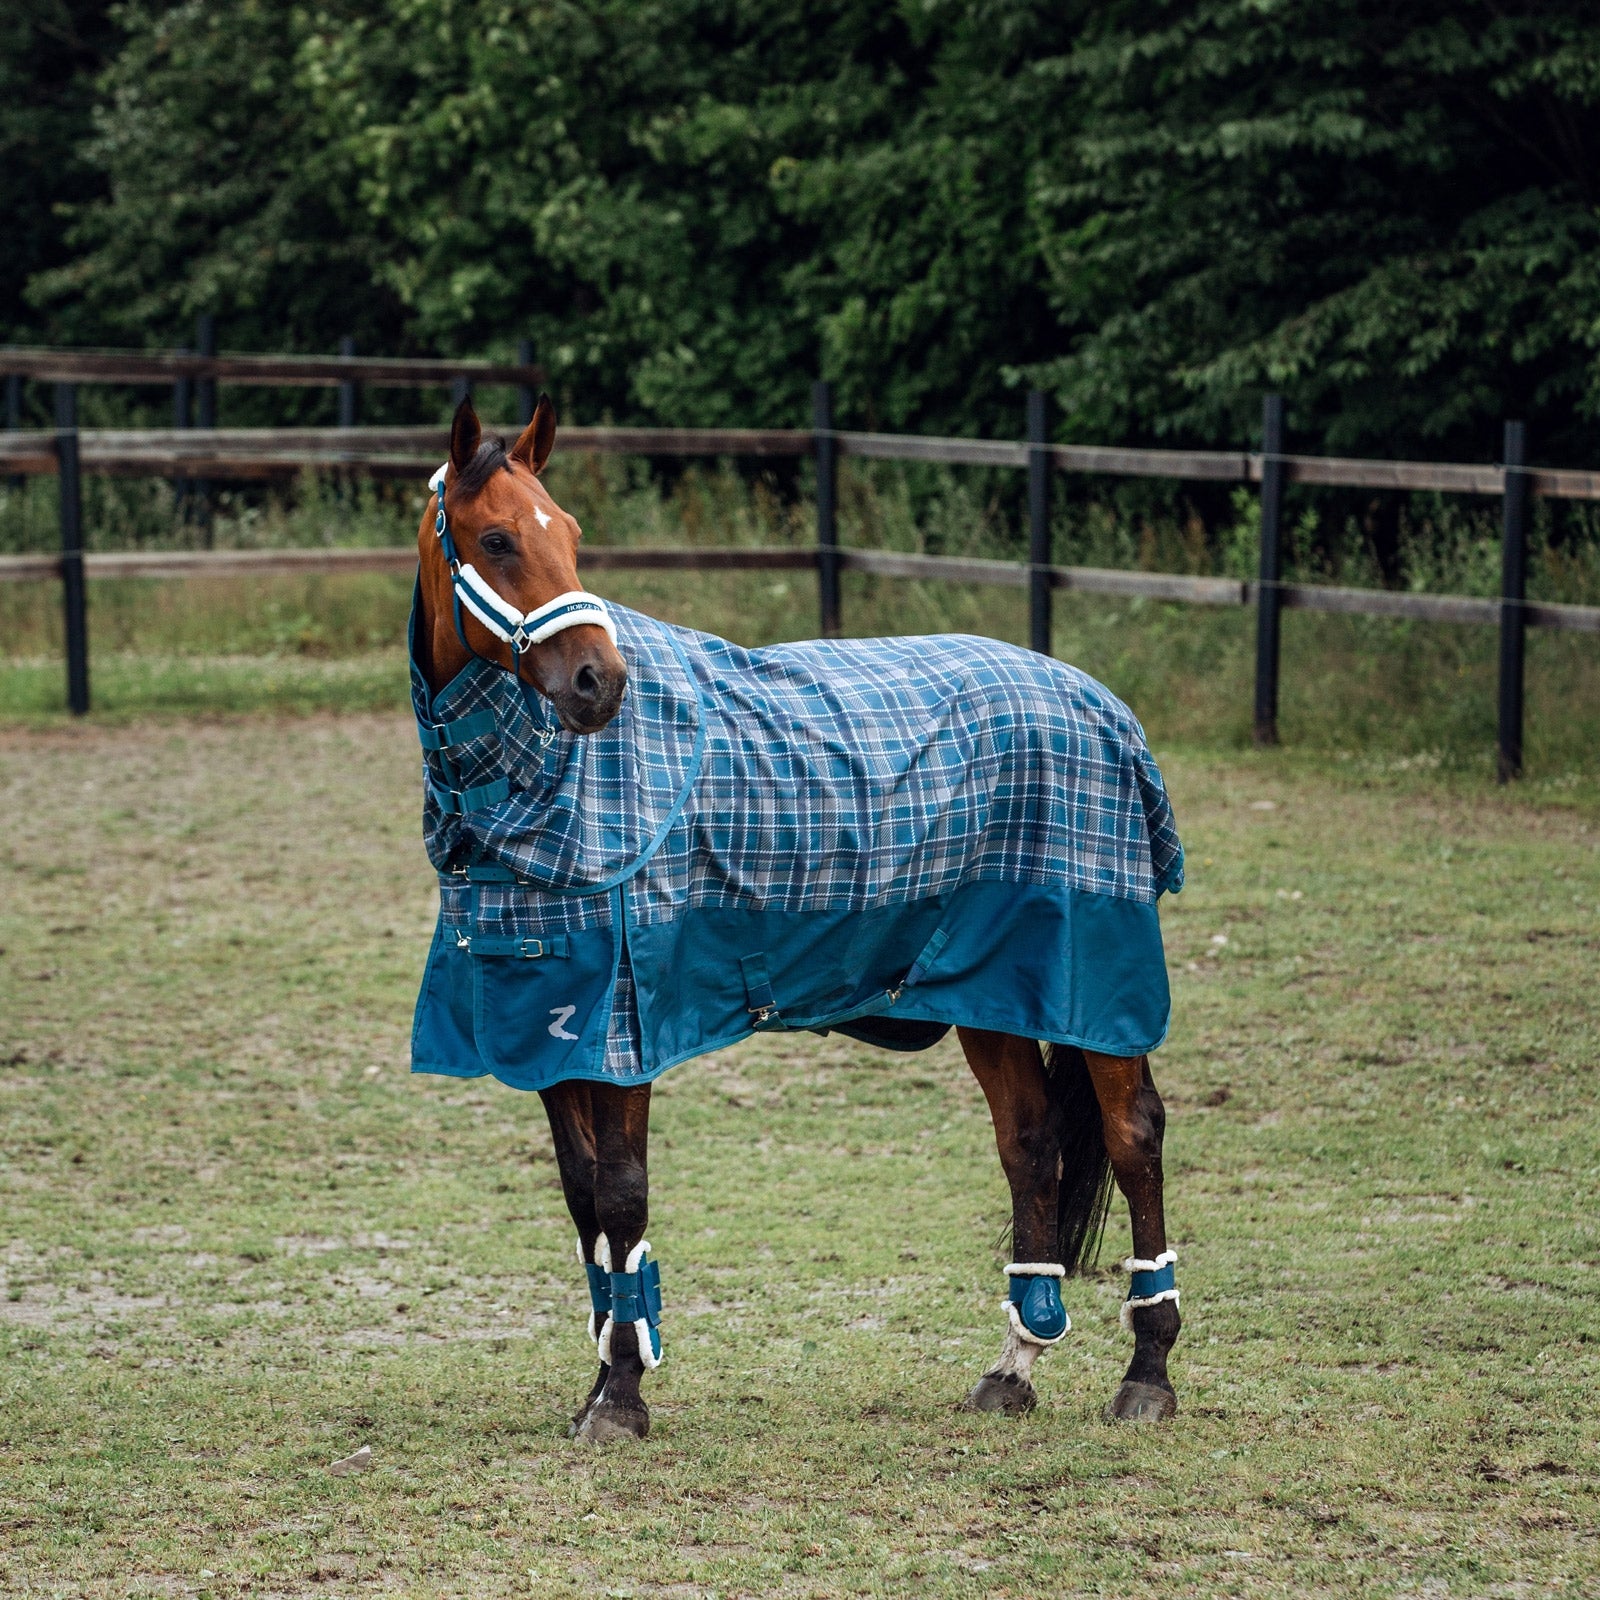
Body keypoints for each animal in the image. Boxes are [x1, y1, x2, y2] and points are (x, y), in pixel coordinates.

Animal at [409, 395, 1183, 1443]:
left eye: (568, 534)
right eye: (496, 539)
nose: (598, 683)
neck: (538, 786)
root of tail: (1103, 704)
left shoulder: (625, 1029)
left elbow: (622, 1196)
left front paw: (622, 1396)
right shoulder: (552, 1030)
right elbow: (586, 1210)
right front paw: (599, 1384)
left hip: (1094, 986)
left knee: (1134, 1136)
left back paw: (1148, 1371)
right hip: (990, 993)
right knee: (1029, 1145)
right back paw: (1014, 1364)